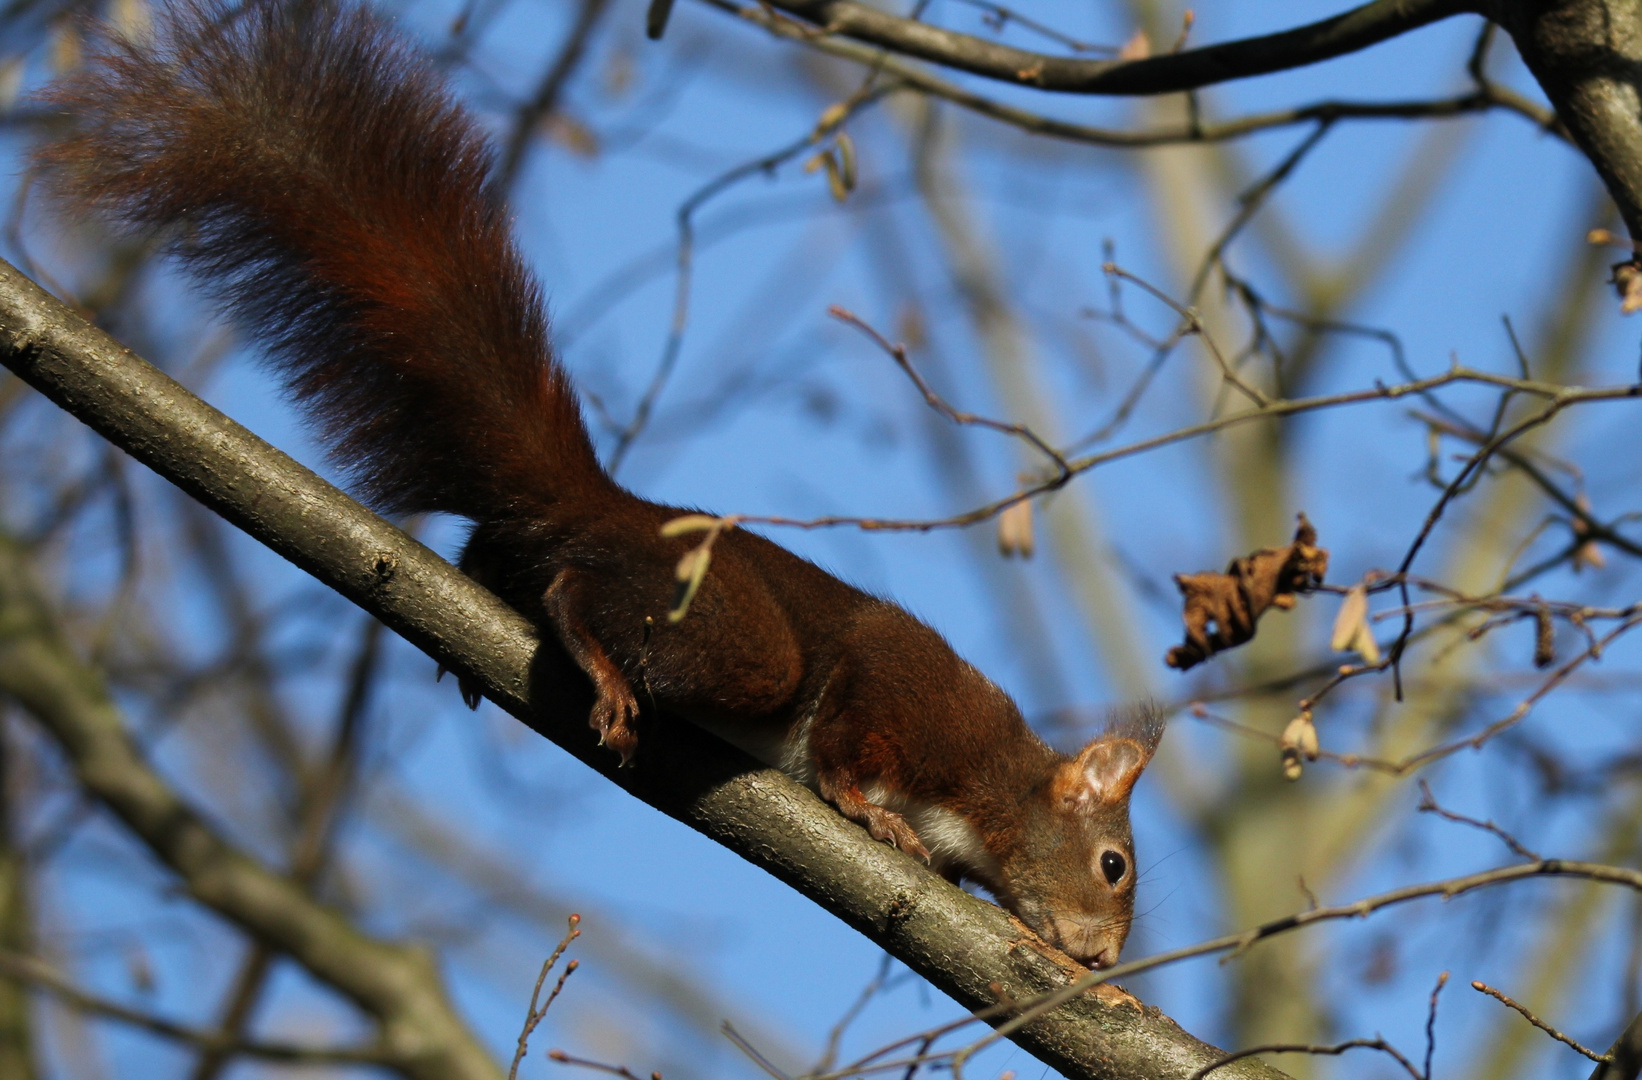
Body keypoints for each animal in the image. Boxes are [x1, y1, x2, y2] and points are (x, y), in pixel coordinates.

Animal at [38, 0, 1169, 965]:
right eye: (1114, 864)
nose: (1104, 961)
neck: (998, 787)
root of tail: (610, 507)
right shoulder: (902, 695)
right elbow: (852, 739)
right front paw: (872, 813)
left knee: (508, 554)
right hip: (740, 640)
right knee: (582, 592)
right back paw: (601, 664)